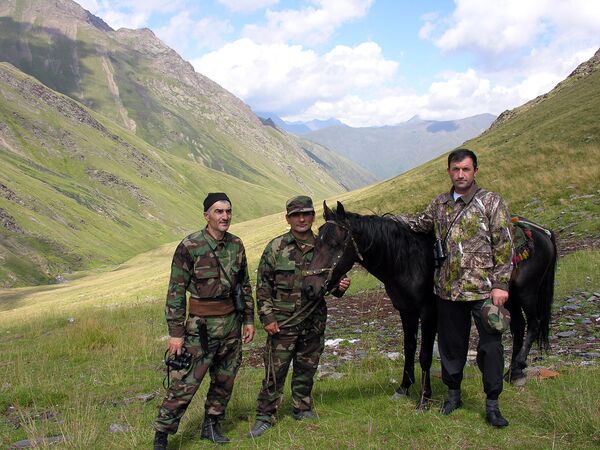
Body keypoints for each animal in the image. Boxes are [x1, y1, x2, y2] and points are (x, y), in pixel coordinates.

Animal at [304, 202, 556, 410]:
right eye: (316, 243)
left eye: (335, 244)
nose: (309, 288)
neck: (407, 260)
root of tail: (542, 232)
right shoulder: (406, 311)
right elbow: (408, 348)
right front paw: (404, 388)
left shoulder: (428, 312)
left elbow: (424, 354)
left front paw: (424, 398)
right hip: (507, 297)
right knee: (518, 326)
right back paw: (514, 372)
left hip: (526, 292)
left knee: (533, 323)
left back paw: (517, 368)